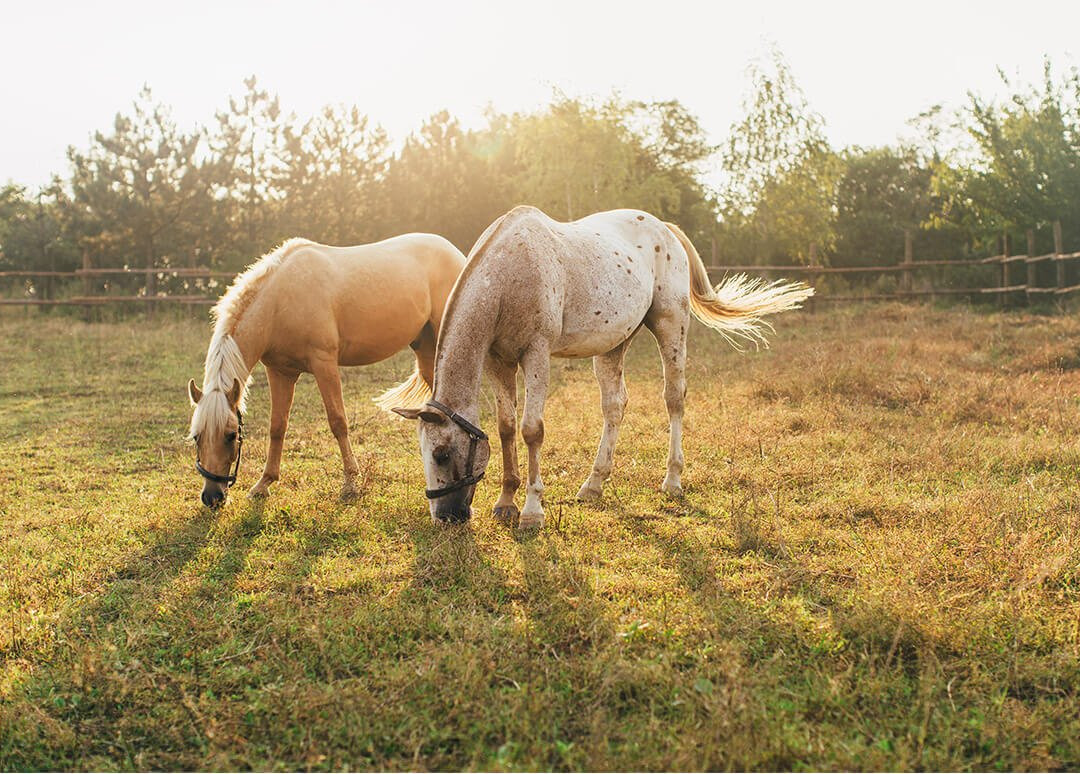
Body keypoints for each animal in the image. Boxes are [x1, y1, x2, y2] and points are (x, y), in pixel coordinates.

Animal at [189, 234, 464, 507]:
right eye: (196, 436)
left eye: (230, 435)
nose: (212, 496)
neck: (280, 300)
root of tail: (454, 251)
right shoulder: (280, 372)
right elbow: (277, 426)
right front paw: (263, 484)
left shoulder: (324, 364)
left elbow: (338, 421)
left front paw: (351, 483)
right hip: (425, 348)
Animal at [395, 208, 812, 528]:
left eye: (441, 454)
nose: (446, 516)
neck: (511, 271)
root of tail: (665, 228)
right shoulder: (499, 361)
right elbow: (506, 427)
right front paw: (506, 503)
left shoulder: (536, 354)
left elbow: (532, 430)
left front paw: (532, 511)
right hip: (612, 346)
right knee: (615, 406)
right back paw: (593, 485)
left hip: (671, 325)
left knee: (674, 398)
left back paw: (672, 480)